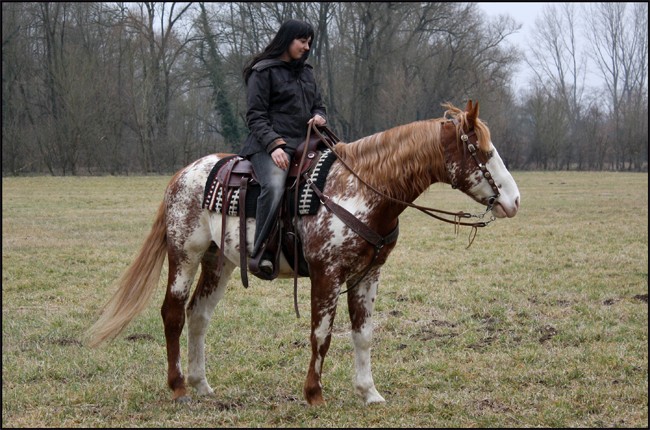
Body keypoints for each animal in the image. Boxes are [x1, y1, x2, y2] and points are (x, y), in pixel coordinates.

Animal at [87, 101, 520, 406]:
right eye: (483, 151)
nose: (514, 201)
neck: (359, 189)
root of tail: (183, 174)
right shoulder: (327, 274)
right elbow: (321, 334)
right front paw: (314, 393)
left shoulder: (368, 275)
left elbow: (363, 334)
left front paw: (369, 393)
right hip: (184, 254)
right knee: (173, 313)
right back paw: (178, 386)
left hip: (218, 261)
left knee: (198, 315)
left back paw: (201, 383)